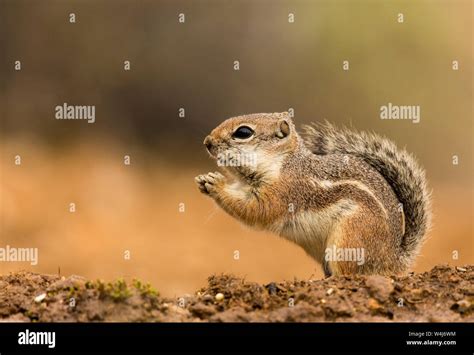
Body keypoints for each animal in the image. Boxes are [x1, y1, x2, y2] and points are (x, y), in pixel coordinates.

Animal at [194, 112, 432, 276]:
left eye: (243, 132)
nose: (207, 142)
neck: (282, 162)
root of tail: (392, 260)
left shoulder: (285, 191)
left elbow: (257, 211)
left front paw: (216, 184)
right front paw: (205, 179)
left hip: (348, 239)